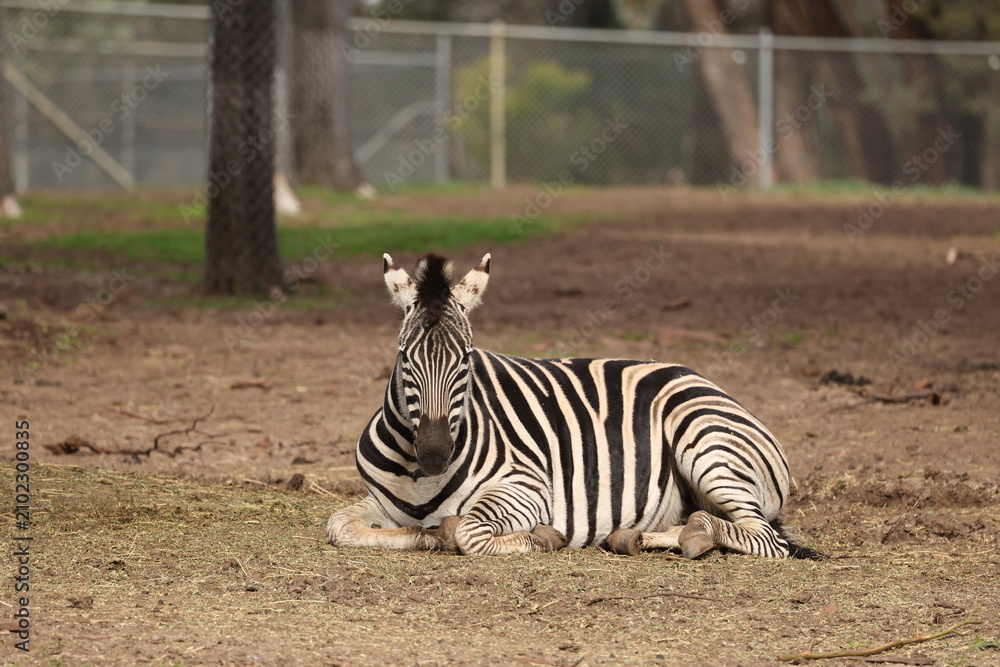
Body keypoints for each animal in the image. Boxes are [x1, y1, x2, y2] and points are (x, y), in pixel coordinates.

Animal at [326, 253, 821, 559]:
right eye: (404, 357)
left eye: (465, 358)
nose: (433, 453)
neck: (418, 477)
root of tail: (710, 385)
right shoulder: (380, 502)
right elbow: (340, 526)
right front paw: (424, 536)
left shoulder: (527, 487)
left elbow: (467, 531)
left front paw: (541, 538)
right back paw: (636, 537)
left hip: (705, 444)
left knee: (764, 538)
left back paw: (698, 534)